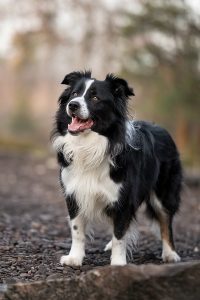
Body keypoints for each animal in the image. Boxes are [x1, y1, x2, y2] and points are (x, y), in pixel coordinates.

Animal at [52, 69, 183, 264]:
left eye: (95, 97)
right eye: (74, 94)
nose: (72, 105)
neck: (90, 146)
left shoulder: (123, 198)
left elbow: (120, 234)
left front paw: (118, 264)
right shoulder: (74, 193)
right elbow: (77, 230)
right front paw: (74, 258)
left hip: (164, 192)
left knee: (166, 221)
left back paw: (170, 254)